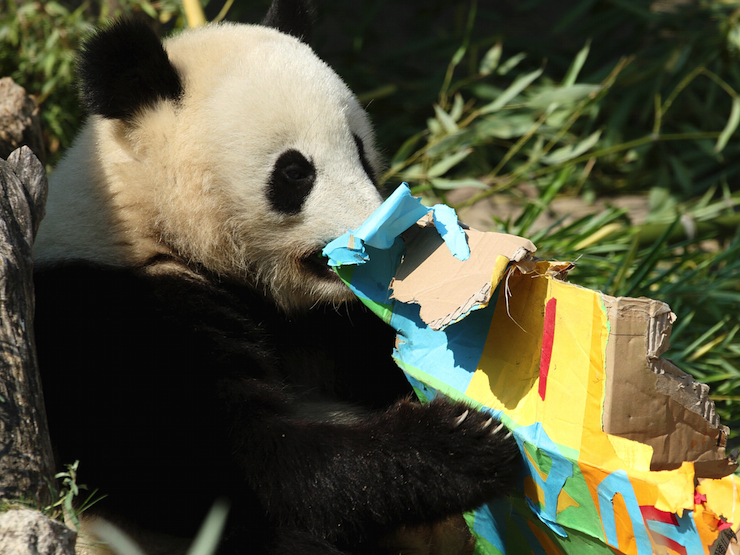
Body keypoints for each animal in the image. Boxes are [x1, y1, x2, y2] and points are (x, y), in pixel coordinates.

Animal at [32, 1, 519, 554]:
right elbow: (245, 468)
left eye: (360, 150)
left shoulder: (330, 321)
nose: (381, 240)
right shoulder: (116, 317)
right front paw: (462, 439)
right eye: (294, 171)